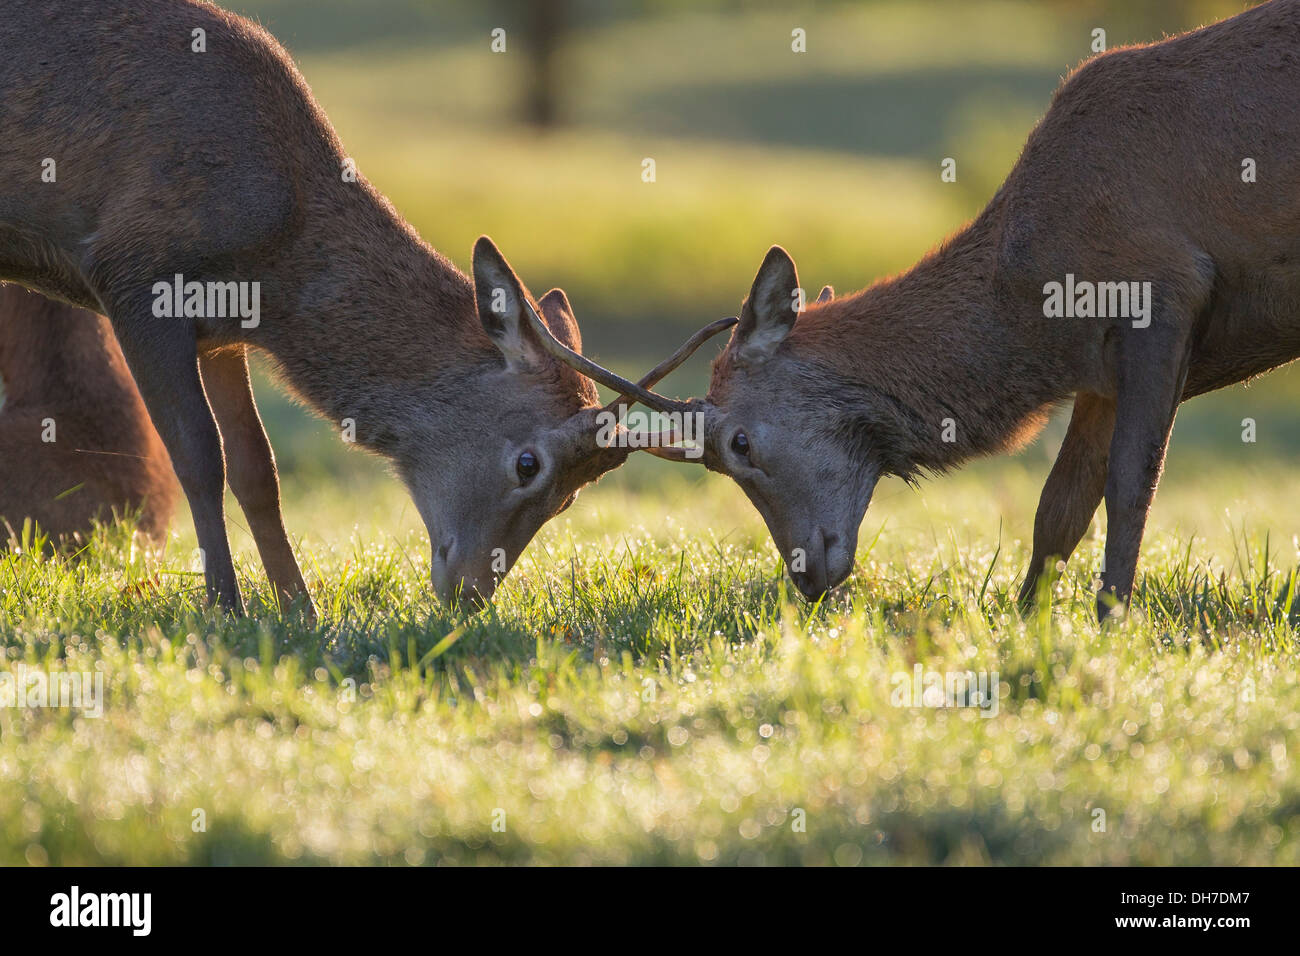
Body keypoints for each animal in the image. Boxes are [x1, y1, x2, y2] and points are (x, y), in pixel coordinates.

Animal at [645, 0, 1300, 622]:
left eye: (738, 444)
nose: (805, 579)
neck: (1034, 318)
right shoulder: (1100, 372)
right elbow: (1060, 503)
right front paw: (1029, 621)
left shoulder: (1163, 292)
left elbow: (1129, 486)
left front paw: (1111, 619)